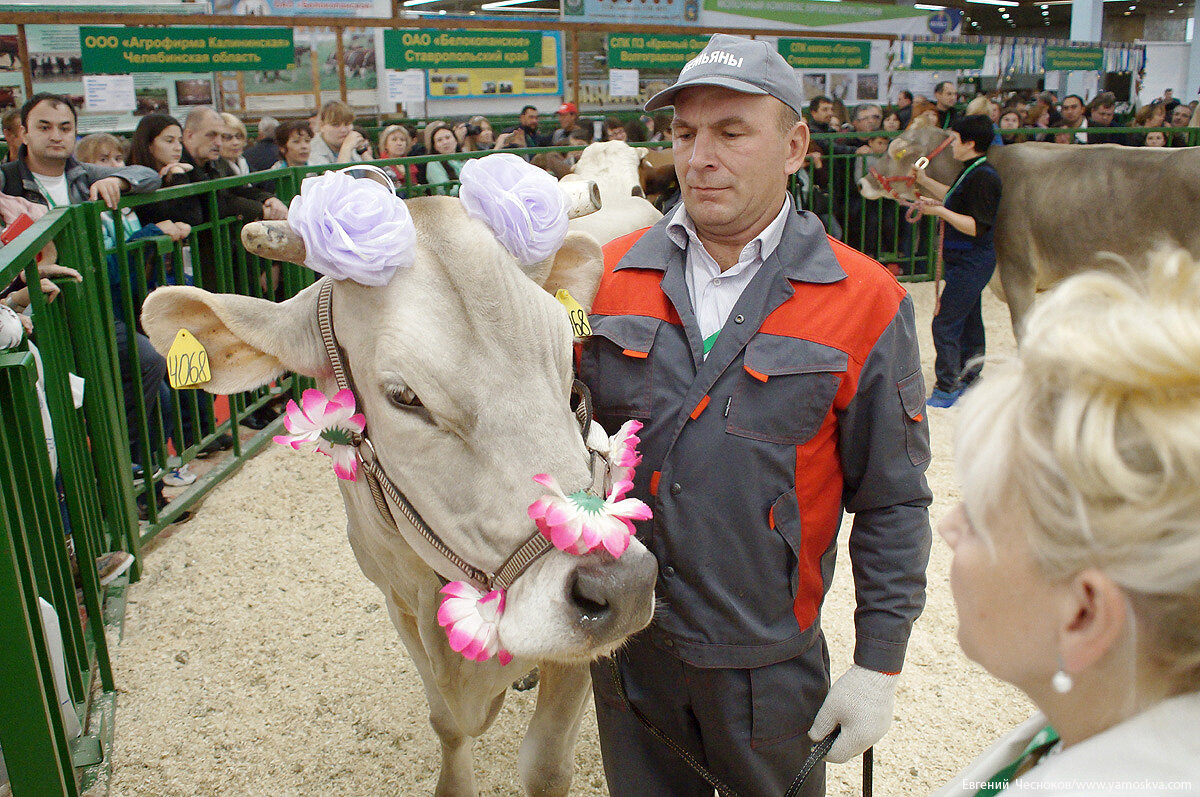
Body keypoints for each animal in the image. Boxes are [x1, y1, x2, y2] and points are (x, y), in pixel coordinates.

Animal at [147, 194, 667, 797]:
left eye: (567, 354)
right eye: (403, 396)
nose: (621, 585)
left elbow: (545, 765)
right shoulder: (397, 601)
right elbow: (445, 721)